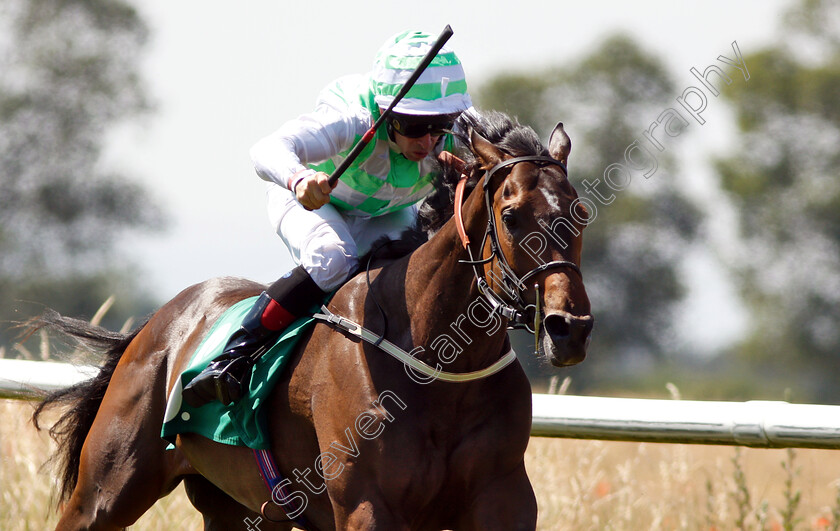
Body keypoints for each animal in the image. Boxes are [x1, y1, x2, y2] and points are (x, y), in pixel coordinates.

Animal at [31, 110, 592, 528]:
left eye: (581, 213)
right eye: (511, 216)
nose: (569, 328)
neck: (440, 366)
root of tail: (157, 325)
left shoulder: (504, 499)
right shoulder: (366, 507)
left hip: (239, 509)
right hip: (106, 493)